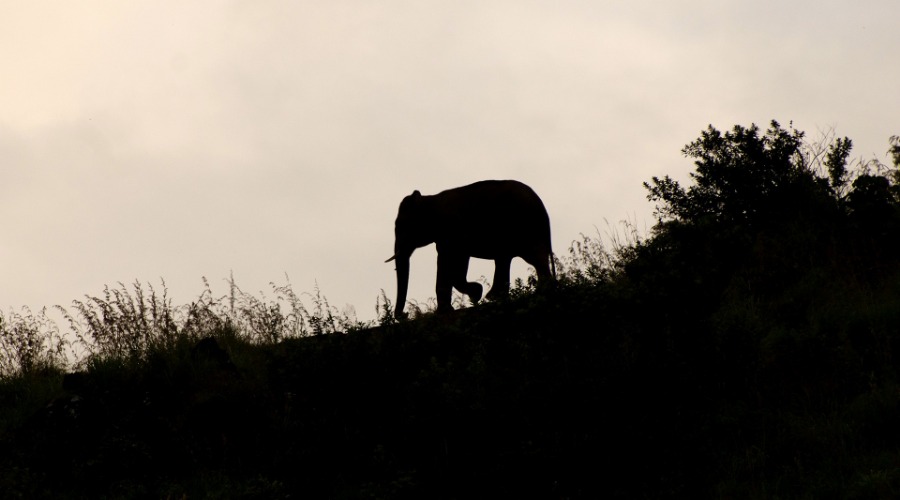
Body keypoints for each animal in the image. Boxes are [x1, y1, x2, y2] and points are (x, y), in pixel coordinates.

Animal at [386, 179, 555, 319]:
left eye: (402, 226)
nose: (405, 315)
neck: (429, 199)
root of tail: (542, 207)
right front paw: (472, 297)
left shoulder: (451, 231)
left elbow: (449, 261)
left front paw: (472, 296)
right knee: (508, 258)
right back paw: (497, 297)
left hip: (525, 226)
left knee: (533, 257)